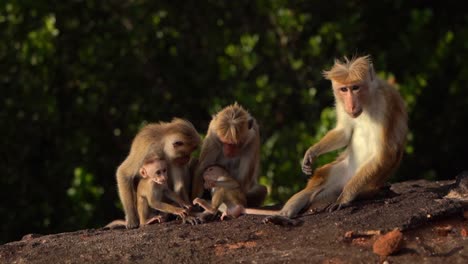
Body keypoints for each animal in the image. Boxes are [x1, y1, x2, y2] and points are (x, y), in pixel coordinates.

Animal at [266, 54, 408, 224]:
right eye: (344, 89)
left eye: (355, 87)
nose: (351, 105)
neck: (367, 102)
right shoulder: (341, 104)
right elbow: (344, 132)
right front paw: (311, 152)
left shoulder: (386, 102)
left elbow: (385, 152)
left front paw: (344, 199)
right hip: (339, 171)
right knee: (313, 187)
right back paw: (283, 217)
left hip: (366, 181)